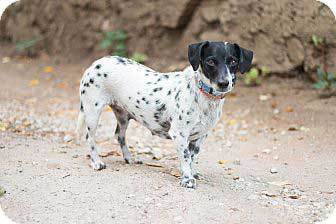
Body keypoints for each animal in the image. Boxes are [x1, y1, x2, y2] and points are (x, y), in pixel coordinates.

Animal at [77, 41, 252, 188]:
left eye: (233, 62)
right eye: (210, 61)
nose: (224, 83)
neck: (202, 96)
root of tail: (96, 63)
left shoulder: (200, 136)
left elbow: (192, 157)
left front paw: (191, 173)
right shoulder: (179, 134)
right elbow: (185, 156)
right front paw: (187, 179)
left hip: (123, 116)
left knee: (119, 135)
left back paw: (129, 158)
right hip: (92, 113)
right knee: (89, 137)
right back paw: (96, 162)